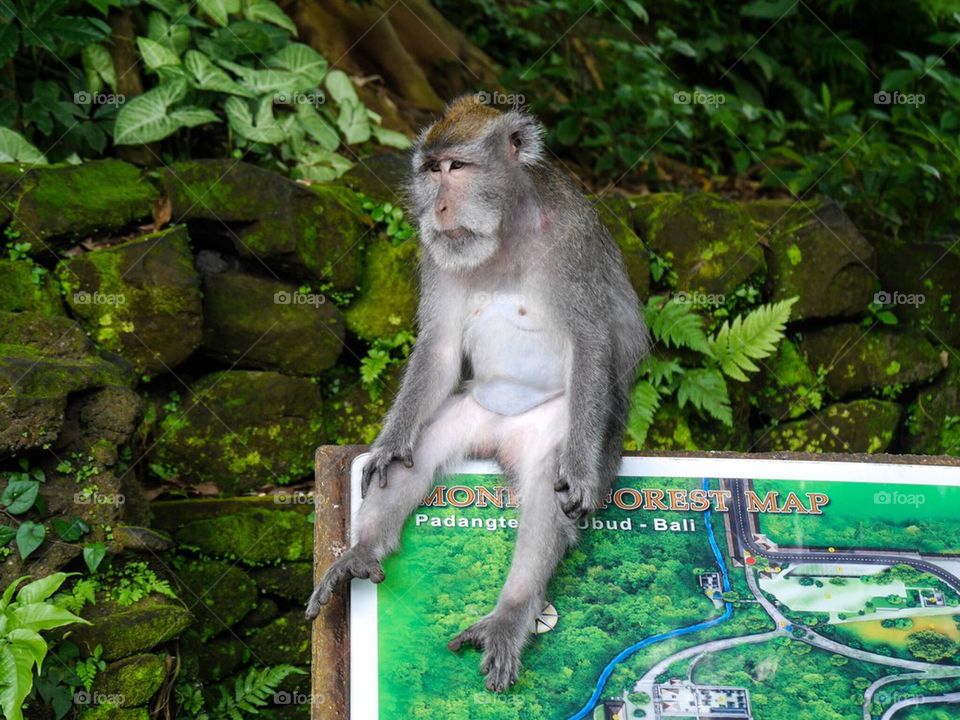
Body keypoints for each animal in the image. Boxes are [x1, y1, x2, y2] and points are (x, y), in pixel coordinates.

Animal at [305, 95, 650, 692]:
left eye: (458, 168)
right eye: (430, 170)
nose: (438, 207)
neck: (507, 231)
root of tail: (498, 442)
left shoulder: (572, 245)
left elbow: (591, 342)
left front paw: (580, 476)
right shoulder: (434, 252)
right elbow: (441, 347)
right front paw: (388, 446)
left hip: (552, 429)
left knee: (547, 486)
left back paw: (511, 611)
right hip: (470, 413)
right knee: (419, 455)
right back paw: (361, 549)